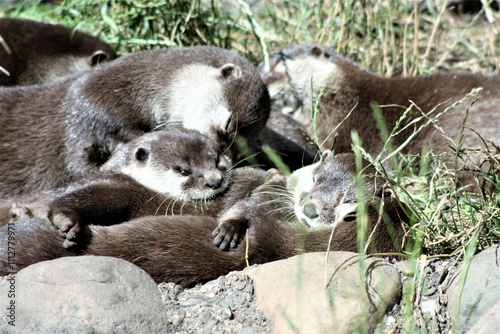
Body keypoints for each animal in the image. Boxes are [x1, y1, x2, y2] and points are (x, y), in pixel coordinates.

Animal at [0, 45, 270, 197]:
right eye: (228, 124)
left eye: (249, 146)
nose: (226, 159)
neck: (128, 91)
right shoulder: (88, 111)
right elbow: (78, 169)